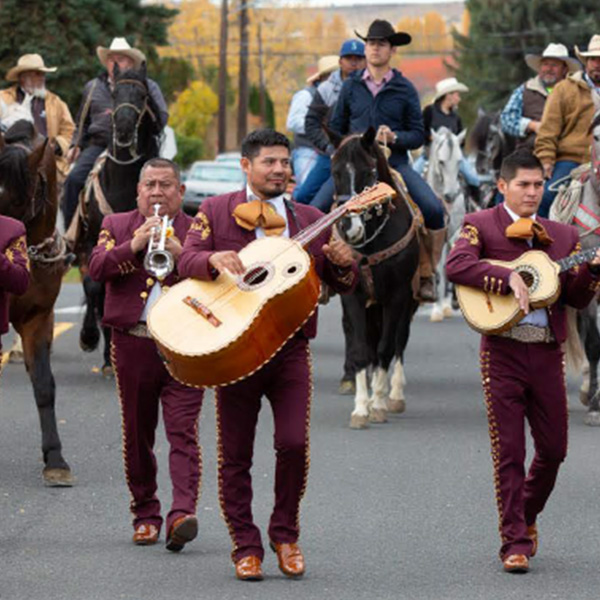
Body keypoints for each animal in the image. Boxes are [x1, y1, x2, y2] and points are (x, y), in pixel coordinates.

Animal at [74, 65, 161, 376]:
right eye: (114, 94)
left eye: (143, 94)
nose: (123, 127)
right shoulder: (92, 243)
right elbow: (95, 287)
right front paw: (90, 338)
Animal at [328, 127, 422, 426]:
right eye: (334, 171)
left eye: (369, 172)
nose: (348, 227)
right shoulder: (354, 297)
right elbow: (361, 350)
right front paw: (361, 409)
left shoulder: (397, 296)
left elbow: (385, 348)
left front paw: (379, 404)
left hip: (408, 300)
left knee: (399, 341)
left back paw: (394, 396)